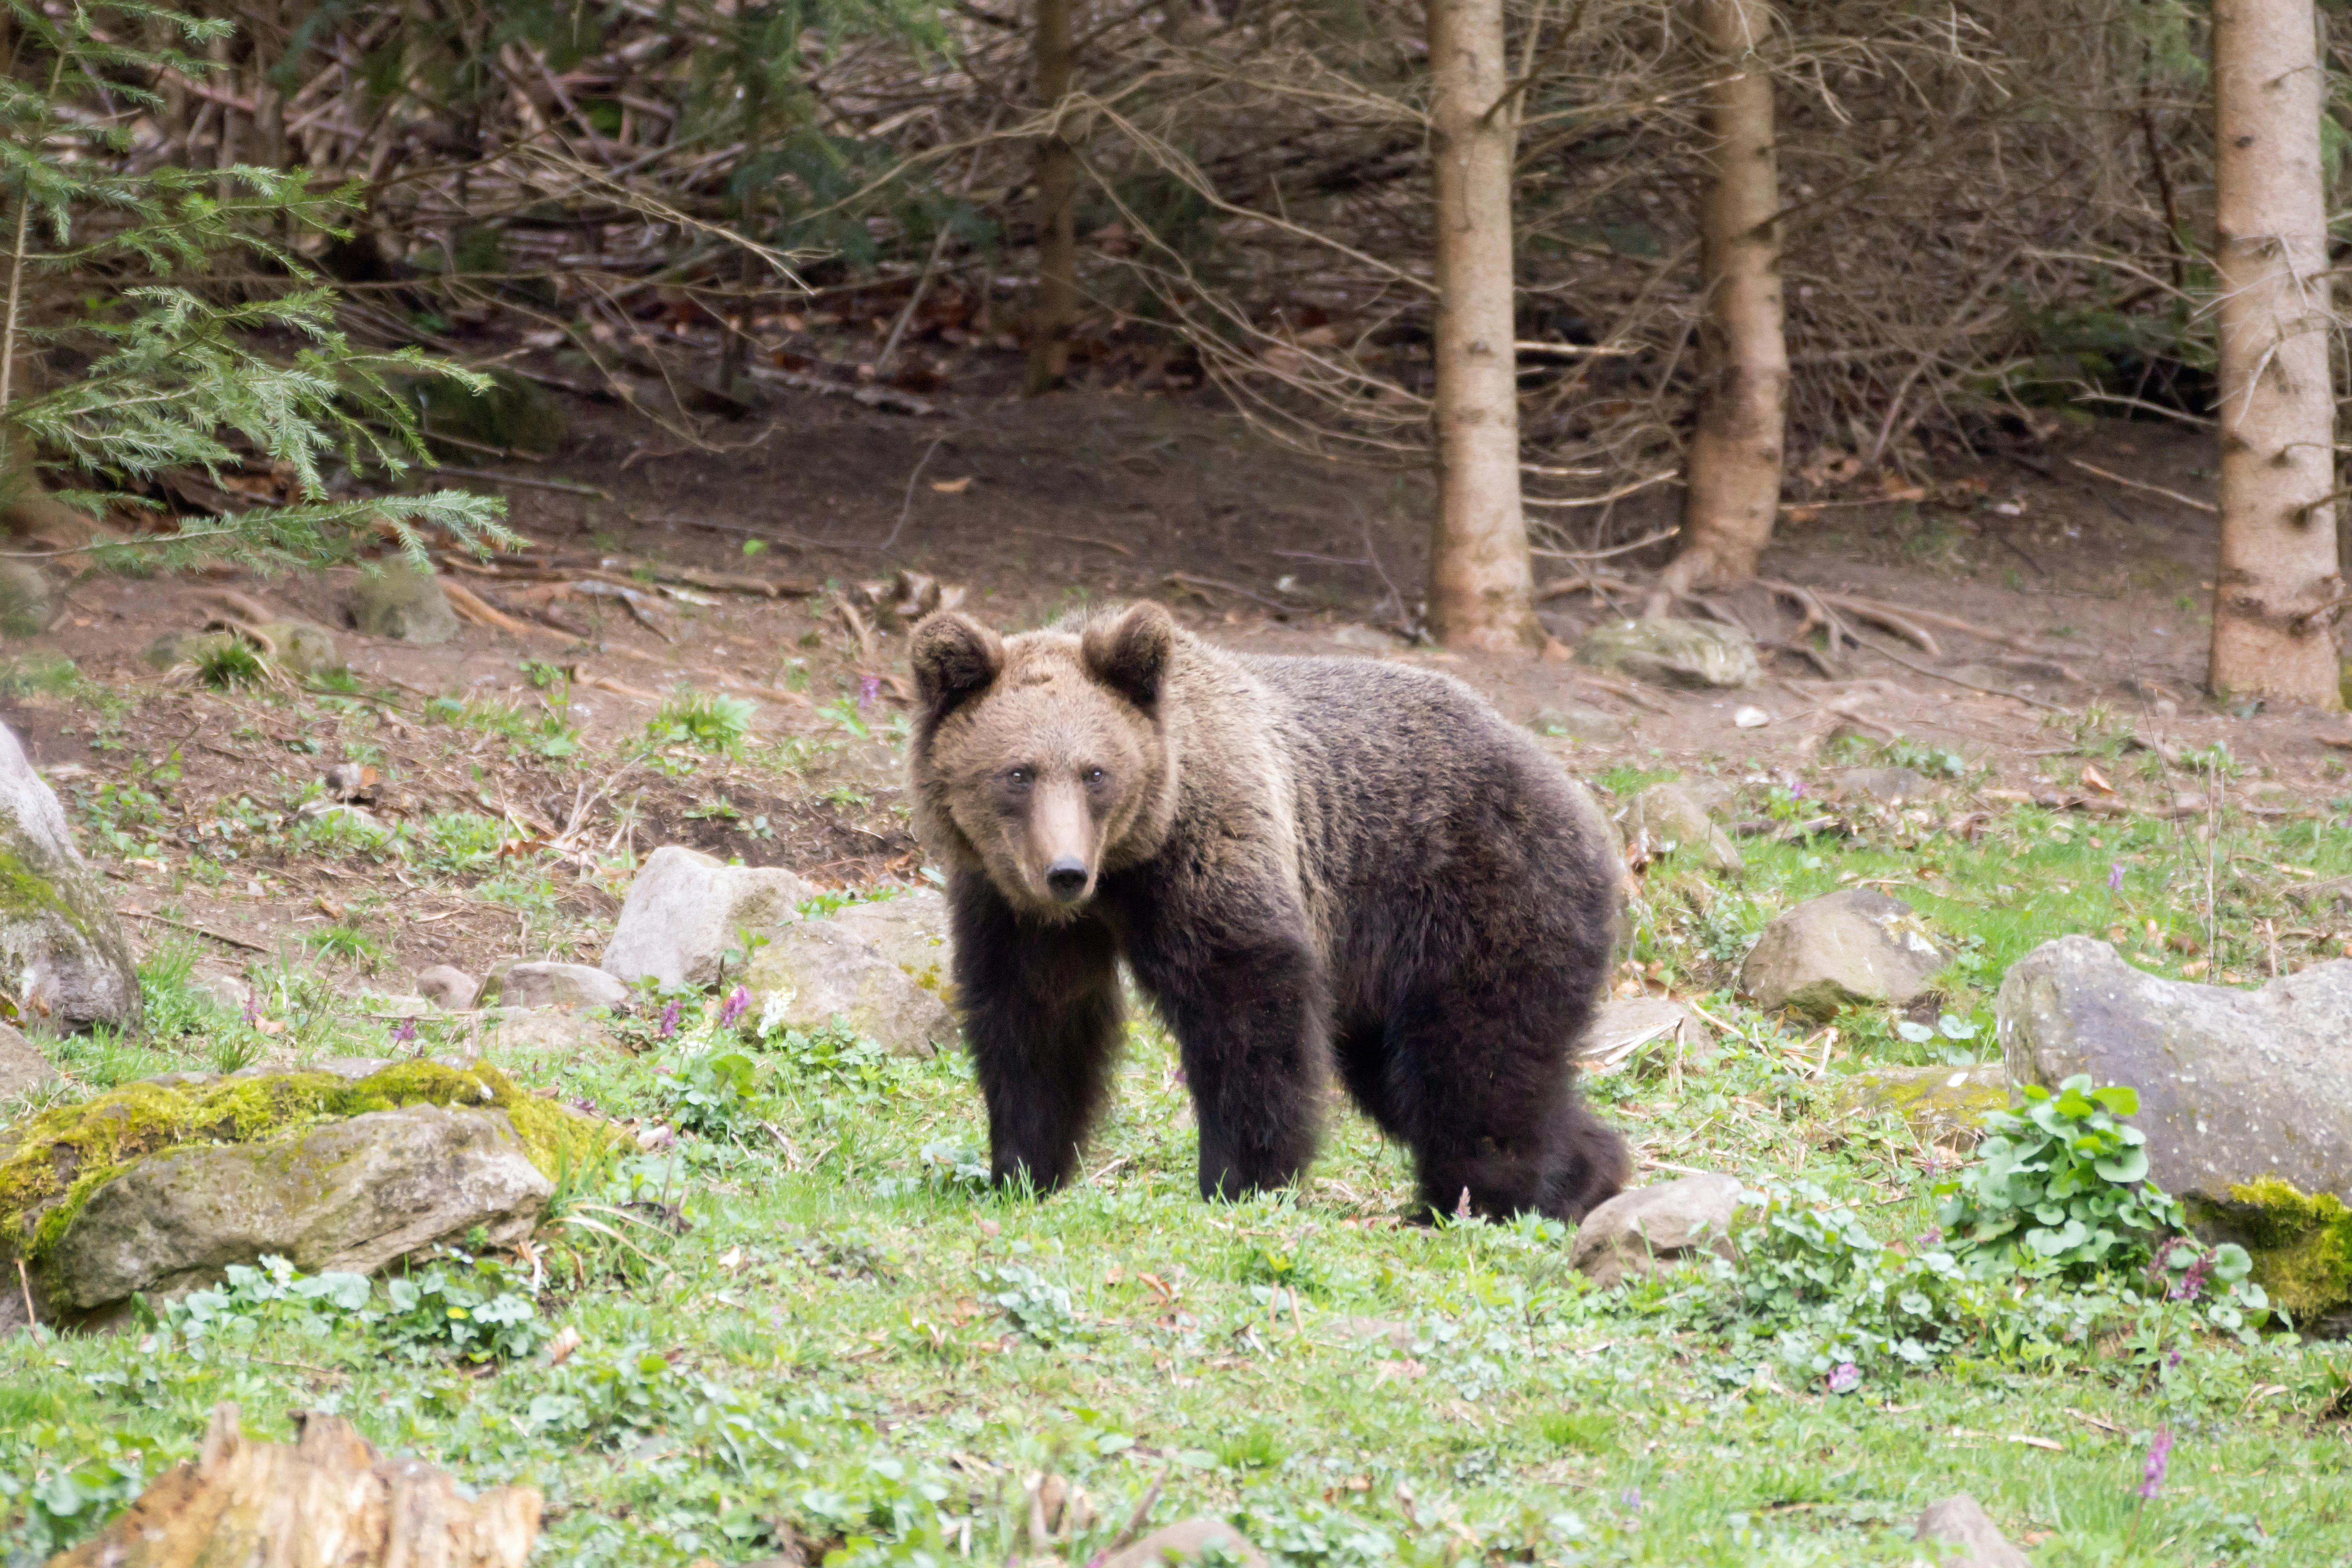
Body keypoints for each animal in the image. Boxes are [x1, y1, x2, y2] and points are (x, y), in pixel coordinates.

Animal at [907, 600, 1630, 1223]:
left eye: (1096, 773)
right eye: (1018, 773)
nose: (1064, 872)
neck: (1123, 867)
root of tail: (1583, 803)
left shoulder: (1208, 848)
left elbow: (1246, 1006)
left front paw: (1241, 1179)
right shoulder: (1013, 907)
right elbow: (1036, 1022)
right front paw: (1022, 1169)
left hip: (1477, 893)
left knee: (1475, 1060)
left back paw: (1473, 1200)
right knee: (1411, 1077)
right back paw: (1585, 1175)